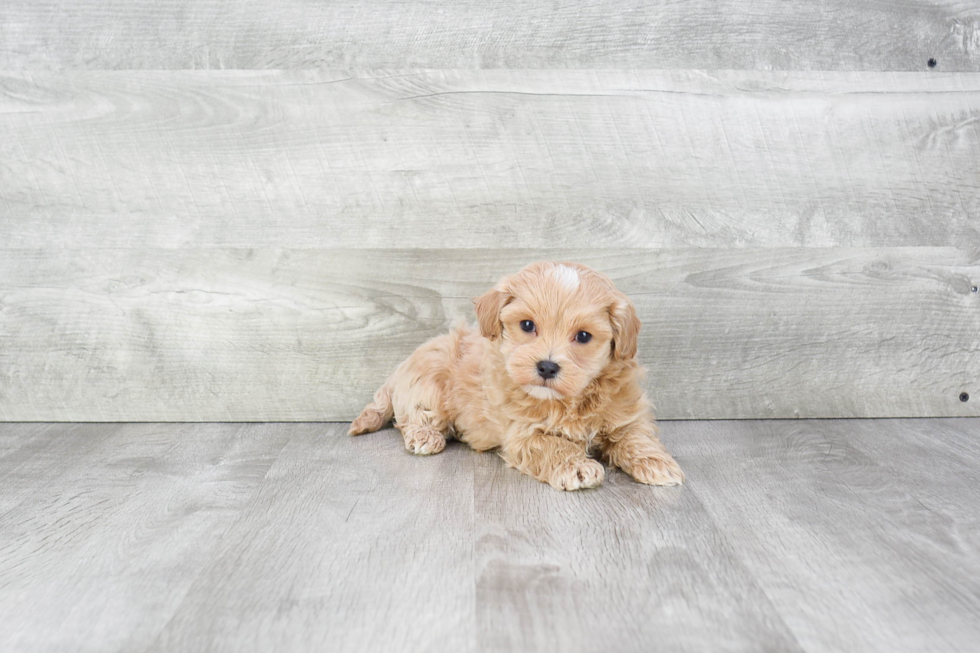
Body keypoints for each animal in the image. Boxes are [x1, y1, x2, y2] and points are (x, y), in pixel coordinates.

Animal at [350, 260, 680, 488]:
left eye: (584, 336)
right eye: (527, 325)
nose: (546, 366)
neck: (569, 401)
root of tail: (398, 371)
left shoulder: (624, 414)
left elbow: (636, 436)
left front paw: (657, 462)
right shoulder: (523, 433)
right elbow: (554, 444)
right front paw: (576, 467)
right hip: (429, 381)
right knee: (414, 417)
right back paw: (426, 436)